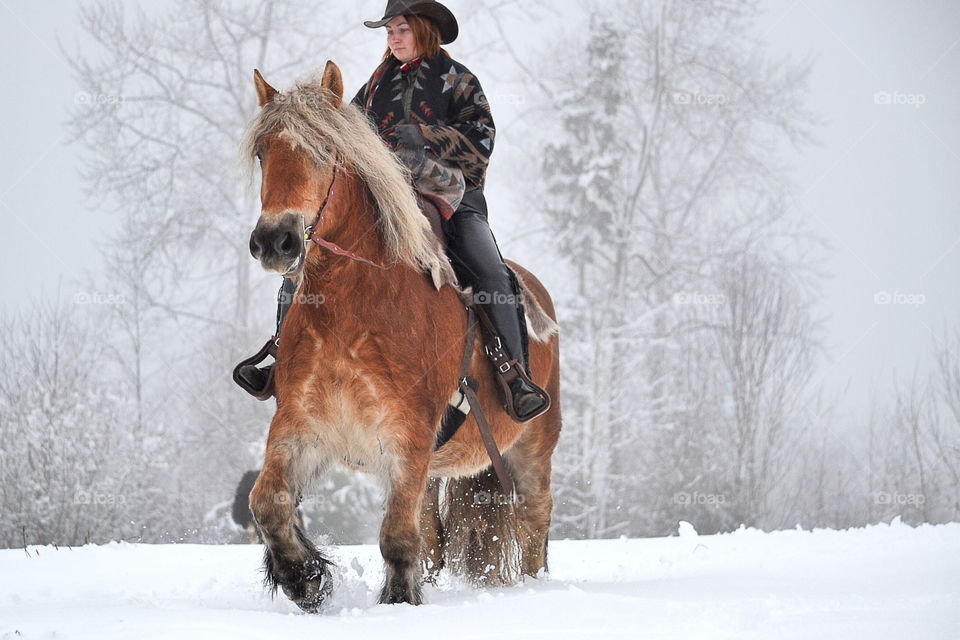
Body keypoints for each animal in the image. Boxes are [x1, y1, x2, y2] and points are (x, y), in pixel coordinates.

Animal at [240, 62, 568, 612]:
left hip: (531, 449)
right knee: (434, 535)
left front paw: (395, 602)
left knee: (533, 524)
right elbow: (266, 504)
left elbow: (396, 537)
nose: (274, 241)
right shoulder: (300, 426)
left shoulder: (407, 436)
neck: (353, 309)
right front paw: (303, 578)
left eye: (324, 149)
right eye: (264, 152)